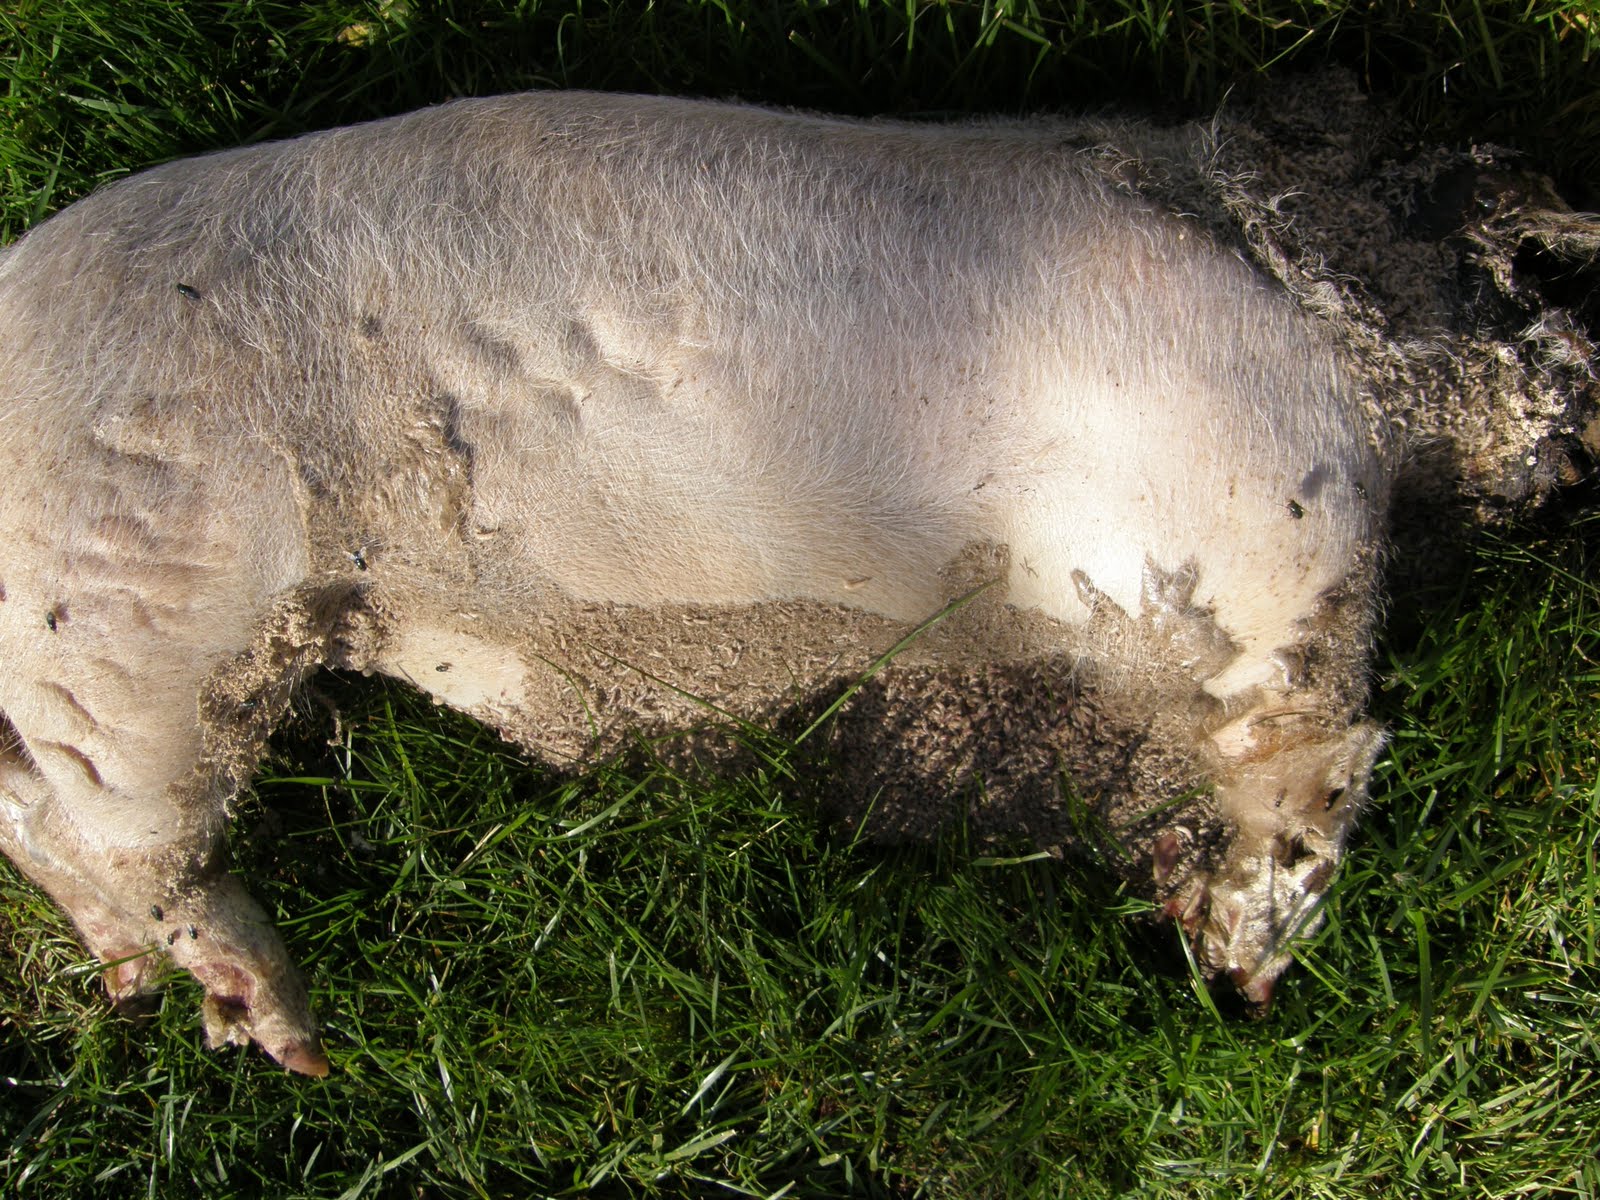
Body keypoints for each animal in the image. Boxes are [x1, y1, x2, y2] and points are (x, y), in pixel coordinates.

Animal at [0, 91, 1389, 1075]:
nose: (1250, 1004)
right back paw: (293, 1044)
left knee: (45, 827)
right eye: (1323, 855)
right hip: (135, 610)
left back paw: (142, 994)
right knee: (117, 831)